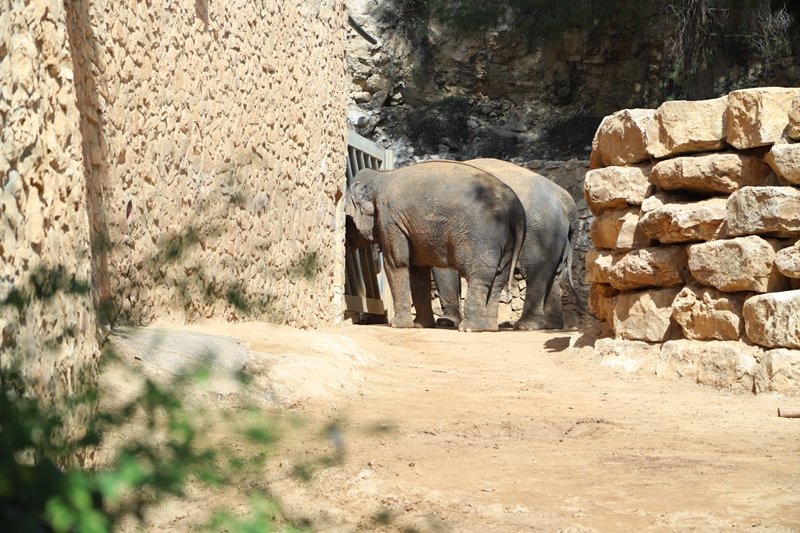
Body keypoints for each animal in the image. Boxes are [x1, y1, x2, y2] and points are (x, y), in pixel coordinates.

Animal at [344, 160, 524, 330]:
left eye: (347, 221)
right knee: (499, 278)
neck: (380, 176)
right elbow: (418, 272)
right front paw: (421, 325)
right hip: (507, 239)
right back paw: (489, 327)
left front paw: (396, 325)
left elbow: (397, 263)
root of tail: (517, 209)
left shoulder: (390, 218)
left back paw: (469, 328)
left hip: (483, 236)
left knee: (480, 275)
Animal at [432, 158, 580, 330]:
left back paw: (524, 326)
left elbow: (442, 267)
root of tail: (568, 203)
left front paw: (446, 322)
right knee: (555, 276)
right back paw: (550, 326)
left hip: (542, 235)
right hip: (559, 237)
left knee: (536, 276)